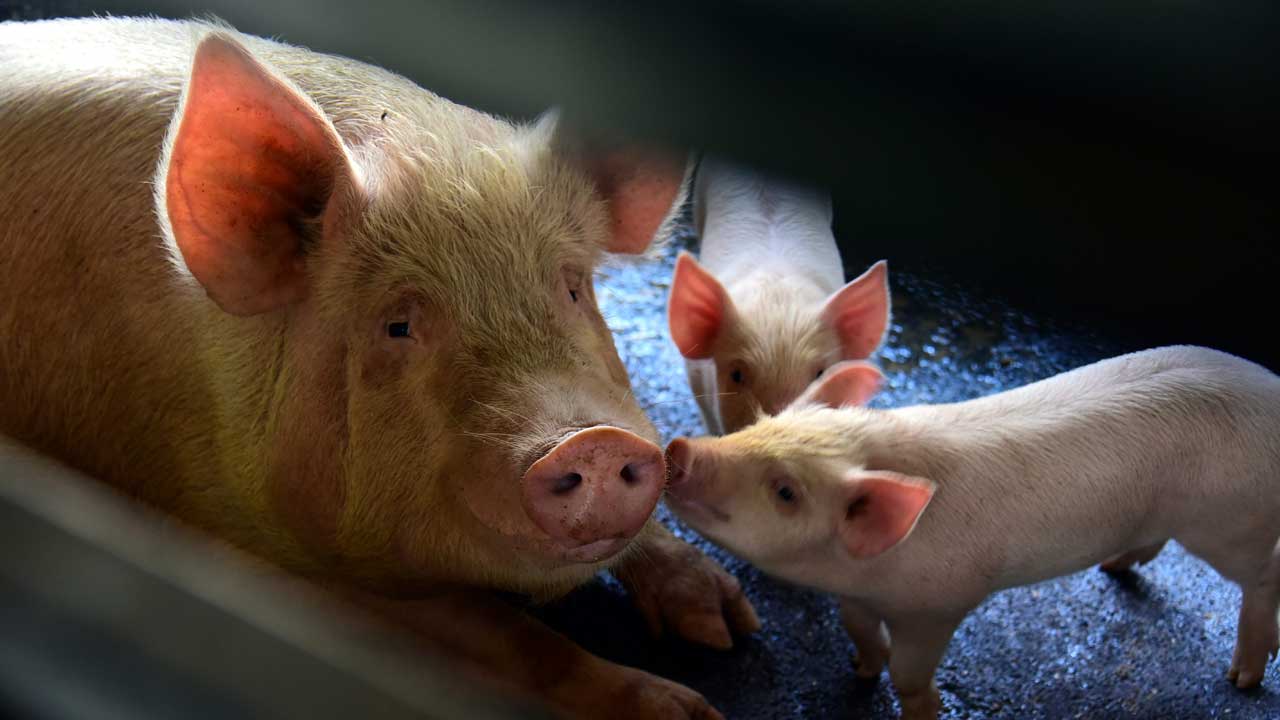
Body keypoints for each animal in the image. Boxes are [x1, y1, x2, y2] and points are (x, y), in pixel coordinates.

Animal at [0, 18, 752, 717]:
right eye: (399, 325)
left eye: (572, 288)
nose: (593, 442)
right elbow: (507, 634)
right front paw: (688, 711)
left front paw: (726, 626)